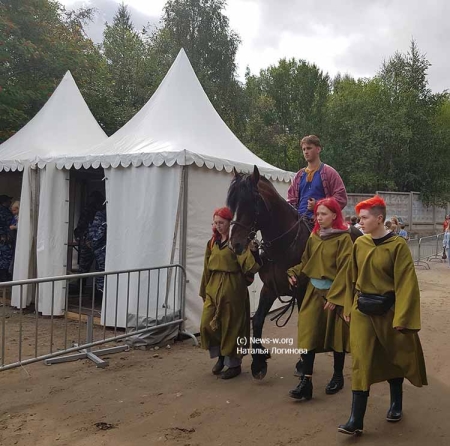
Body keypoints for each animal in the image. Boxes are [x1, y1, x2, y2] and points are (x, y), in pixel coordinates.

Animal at [227, 166, 312, 380]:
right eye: (232, 203)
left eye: (251, 202)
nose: (235, 244)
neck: (284, 246)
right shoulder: (270, 289)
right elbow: (257, 321)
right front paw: (259, 361)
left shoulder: (301, 291)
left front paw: (302, 363)